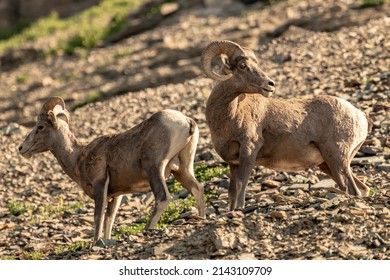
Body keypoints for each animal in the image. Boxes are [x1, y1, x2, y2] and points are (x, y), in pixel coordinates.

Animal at [19, 97, 206, 245]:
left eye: (40, 127)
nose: (21, 148)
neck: (78, 158)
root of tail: (186, 121)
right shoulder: (116, 196)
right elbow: (109, 219)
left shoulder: (100, 186)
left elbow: (98, 217)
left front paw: (95, 244)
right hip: (182, 169)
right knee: (197, 188)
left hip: (154, 168)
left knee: (163, 198)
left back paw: (146, 229)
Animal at [201, 39, 372, 210]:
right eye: (243, 65)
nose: (270, 84)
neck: (228, 117)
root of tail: (360, 115)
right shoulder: (233, 162)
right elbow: (232, 191)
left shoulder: (249, 150)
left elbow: (241, 185)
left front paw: (239, 210)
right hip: (328, 165)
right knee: (362, 188)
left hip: (337, 159)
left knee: (354, 189)